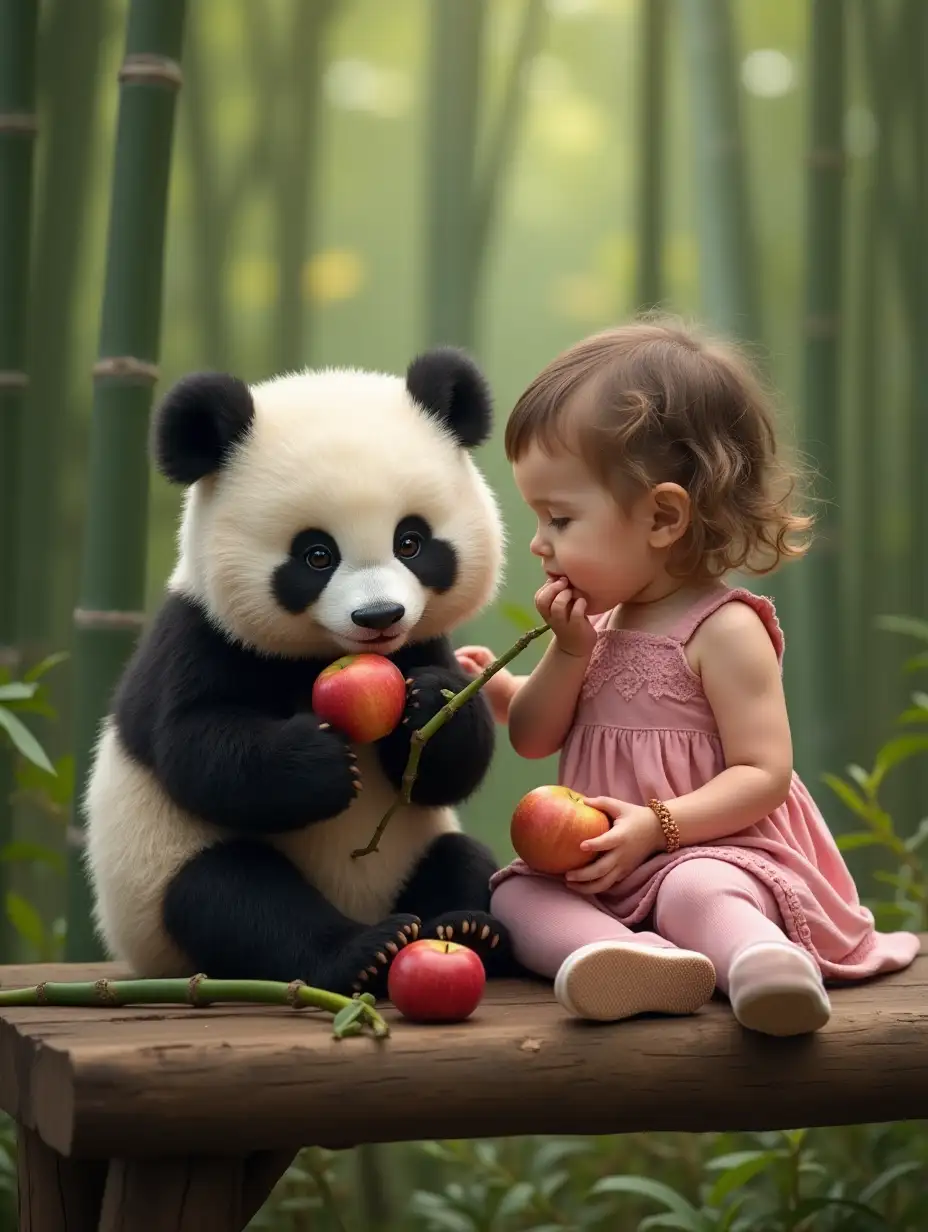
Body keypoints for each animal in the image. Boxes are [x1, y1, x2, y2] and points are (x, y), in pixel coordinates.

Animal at [81, 347, 515, 1000]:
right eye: (316, 555)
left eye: (411, 542)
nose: (378, 616)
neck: (319, 655)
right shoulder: (197, 639)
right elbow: (195, 745)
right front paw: (322, 761)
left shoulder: (422, 642)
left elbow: (444, 771)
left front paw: (427, 702)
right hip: (160, 892)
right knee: (234, 897)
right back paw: (364, 953)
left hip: (415, 853)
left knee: (461, 856)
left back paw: (467, 929)